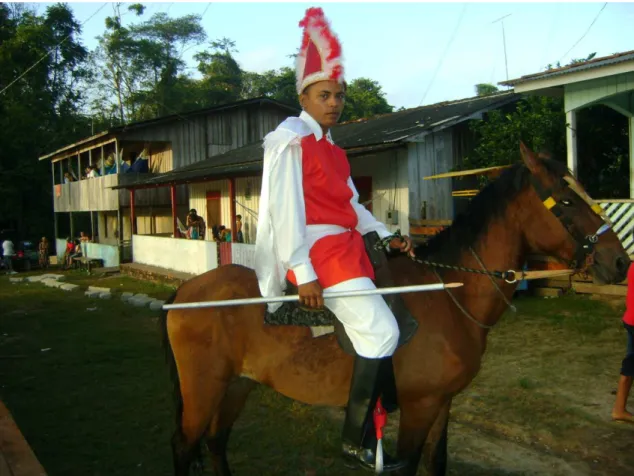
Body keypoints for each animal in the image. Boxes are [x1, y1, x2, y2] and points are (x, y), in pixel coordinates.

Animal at [159, 145, 628, 476]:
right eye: (566, 201)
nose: (620, 261)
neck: (448, 295)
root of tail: (186, 291)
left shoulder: (441, 404)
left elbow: (436, 464)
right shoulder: (420, 408)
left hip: (237, 385)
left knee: (216, 443)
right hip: (205, 389)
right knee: (183, 446)